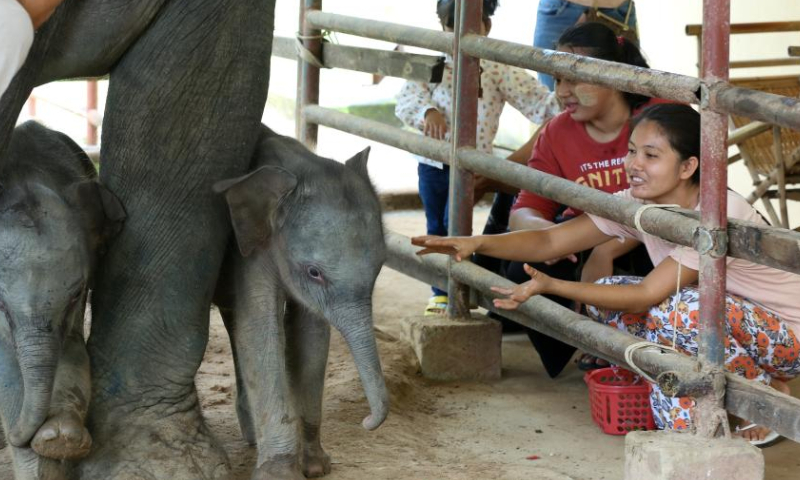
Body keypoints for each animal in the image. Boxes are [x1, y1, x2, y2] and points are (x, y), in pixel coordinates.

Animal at [0, 121, 125, 480]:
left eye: (75, 296)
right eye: (2, 307)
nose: (17, 436)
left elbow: (74, 350)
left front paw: (61, 439)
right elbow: (6, 368)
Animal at [212, 126, 388, 480]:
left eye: (380, 266)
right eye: (314, 272)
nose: (366, 422)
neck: (298, 166)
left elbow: (310, 334)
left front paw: (316, 466)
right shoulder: (250, 249)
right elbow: (260, 330)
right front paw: (280, 474)